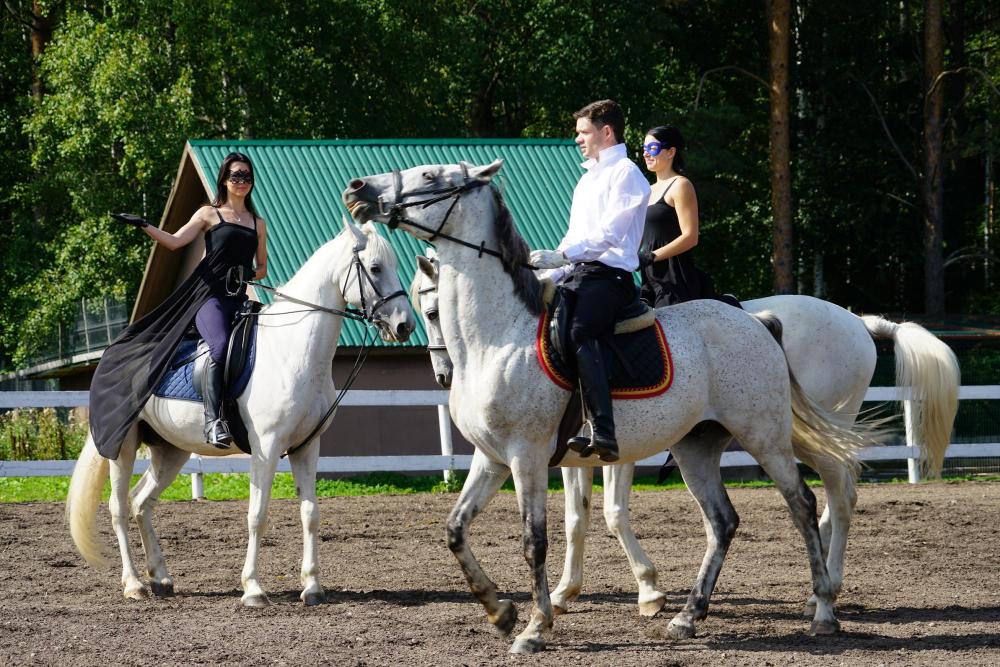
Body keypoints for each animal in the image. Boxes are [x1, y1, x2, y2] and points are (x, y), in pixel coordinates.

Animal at [67, 219, 416, 608]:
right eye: (375, 268)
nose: (404, 326)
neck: (291, 351)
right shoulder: (267, 447)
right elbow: (257, 515)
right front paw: (253, 589)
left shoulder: (307, 447)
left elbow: (310, 513)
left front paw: (312, 587)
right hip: (123, 447)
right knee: (118, 508)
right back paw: (134, 585)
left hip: (171, 451)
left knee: (142, 502)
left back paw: (161, 578)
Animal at [345, 160, 884, 654]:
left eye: (430, 176)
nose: (357, 189)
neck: (497, 336)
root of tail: (760, 323)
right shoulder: (493, 457)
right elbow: (458, 530)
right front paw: (503, 611)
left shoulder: (529, 456)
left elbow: (541, 538)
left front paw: (537, 627)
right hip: (697, 448)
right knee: (724, 520)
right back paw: (689, 617)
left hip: (768, 436)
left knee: (808, 501)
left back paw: (823, 608)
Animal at [410, 251, 959, 620]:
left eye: (434, 312)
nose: (443, 375)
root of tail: (858, 321)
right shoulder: (565, 455)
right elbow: (576, 519)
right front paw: (567, 592)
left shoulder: (616, 451)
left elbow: (612, 514)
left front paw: (649, 591)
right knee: (830, 494)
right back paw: (819, 584)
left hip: (803, 428)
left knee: (837, 492)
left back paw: (825, 588)